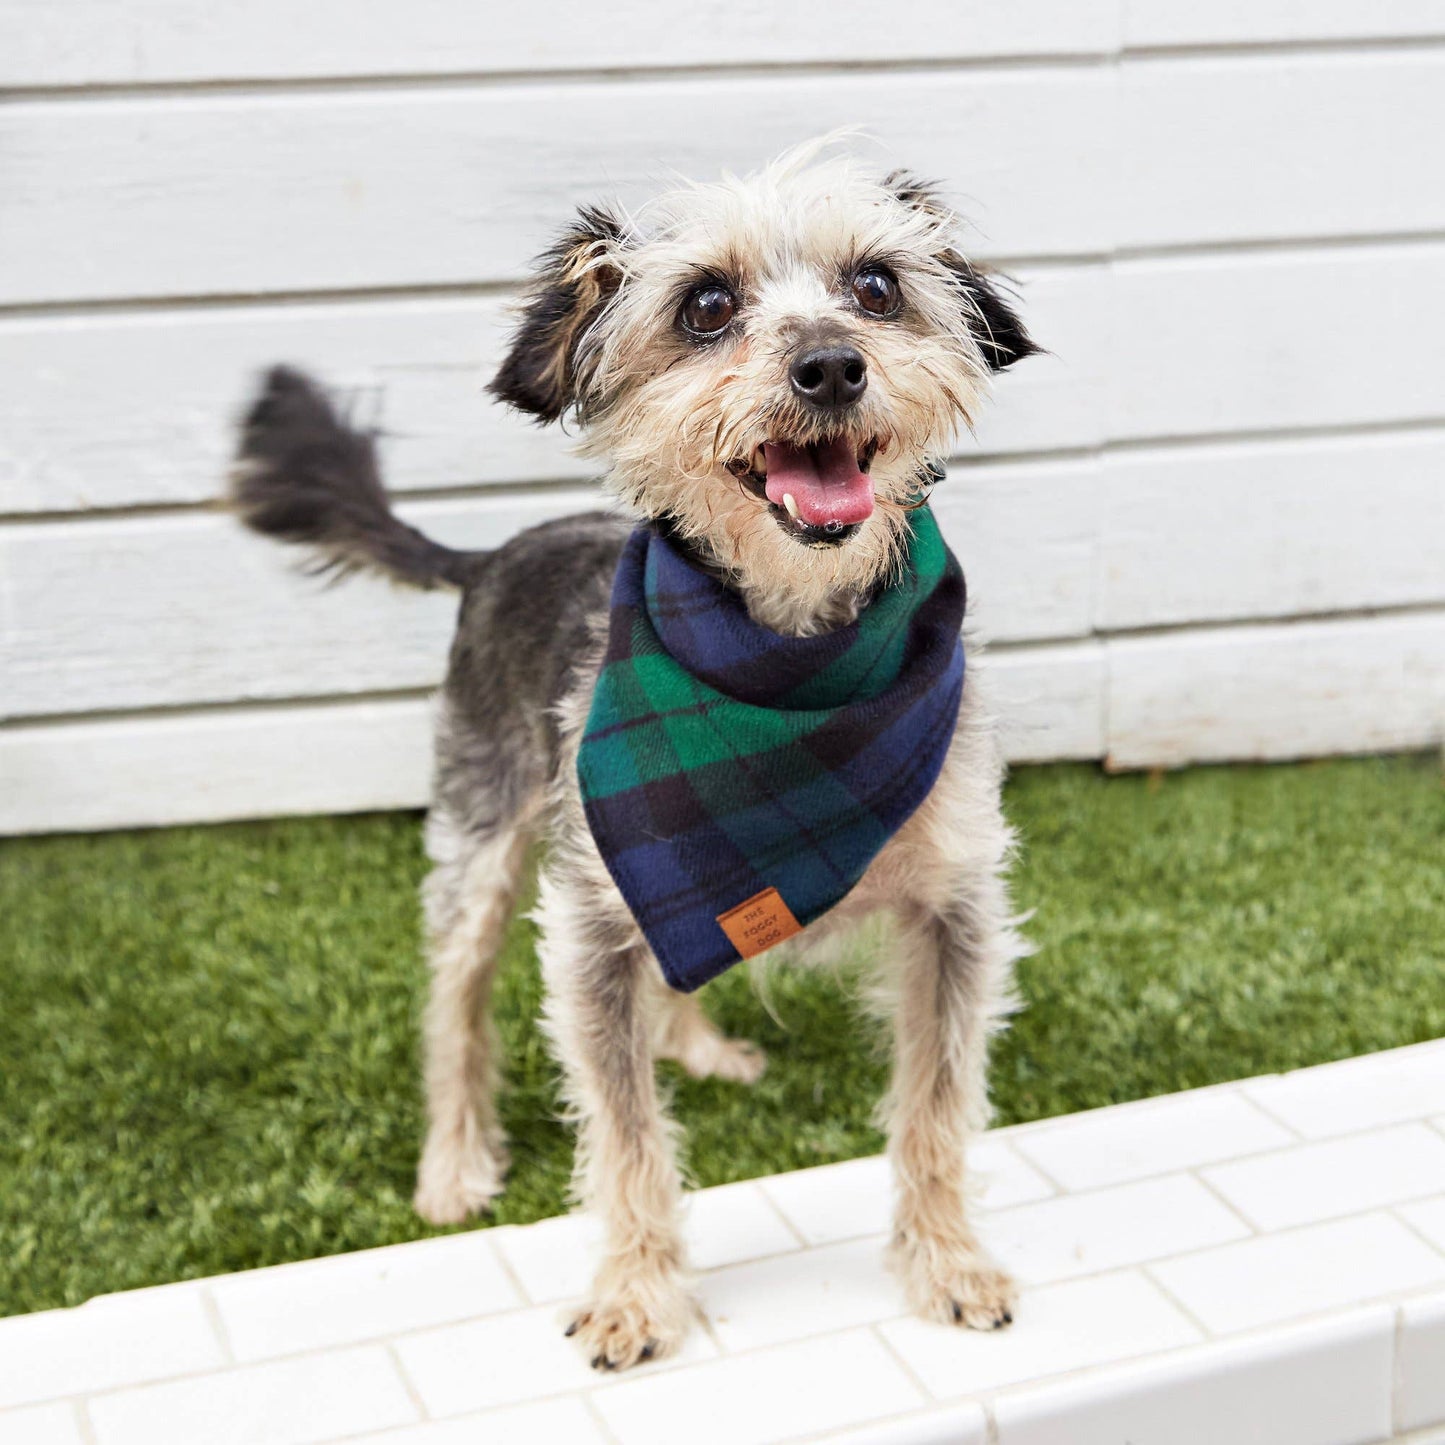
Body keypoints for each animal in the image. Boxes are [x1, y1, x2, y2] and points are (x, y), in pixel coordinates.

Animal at [228, 140, 1040, 1369]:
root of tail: (491, 556)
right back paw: (453, 1164)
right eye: (704, 305)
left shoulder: (954, 907)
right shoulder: (590, 925)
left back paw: (700, 1047)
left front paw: (945, 1263)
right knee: (452, 1010)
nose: (831, 366)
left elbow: (936, 1105)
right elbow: (623, 1133)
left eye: (876, 287)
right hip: (480, 842)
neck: (785, 654)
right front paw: (635, 1295)